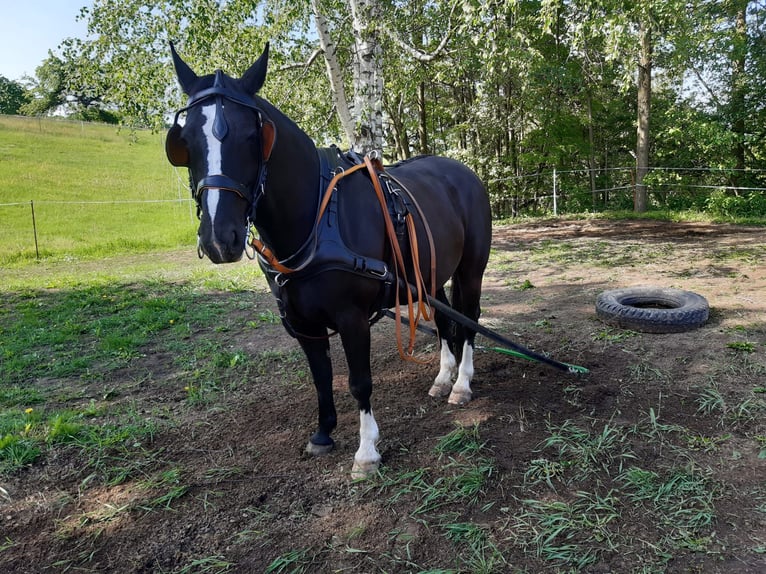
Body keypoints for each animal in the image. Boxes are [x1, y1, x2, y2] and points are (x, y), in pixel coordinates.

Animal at [165, 43, 492, 478]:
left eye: (253, 136)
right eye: (184, 141)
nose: (220, 238)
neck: (317, 218)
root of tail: (464, 172)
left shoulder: (352, 317)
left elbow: (359, 381)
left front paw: (366, 451)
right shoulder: (302, 322)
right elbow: (321, 377)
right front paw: (323, 434)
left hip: (470, 270)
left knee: (468, 319)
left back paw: (462, 384)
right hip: (431, 274)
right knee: (442, 319)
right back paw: (443, 378)